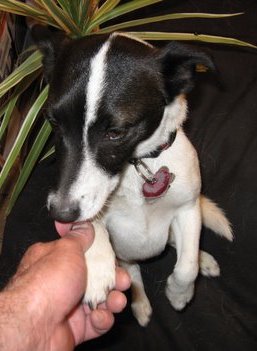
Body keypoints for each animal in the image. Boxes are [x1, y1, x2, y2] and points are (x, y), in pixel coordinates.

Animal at [32, 27, 232, 328]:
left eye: (116, 132)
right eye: (53, 122)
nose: (60, 214)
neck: (137, 167)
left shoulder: (188, 208)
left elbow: (186, 266)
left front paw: (180, 293)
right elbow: (93, 225)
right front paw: (95, 268)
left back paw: (203, 258)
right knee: (133, 270)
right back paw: (139, 302)